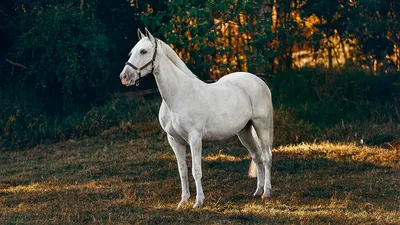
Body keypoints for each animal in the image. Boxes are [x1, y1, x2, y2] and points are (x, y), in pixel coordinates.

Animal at [120, 29, 274, 208]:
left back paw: (266, 193)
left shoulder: (194, 138)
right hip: (244, 132)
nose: (124, 77)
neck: (178, 96)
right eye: (132, 52)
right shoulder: (174, 140)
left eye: (143, 51)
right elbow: (182, 171)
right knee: (257, 156)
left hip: (261, 126)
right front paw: (183, 201)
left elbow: (196, 170)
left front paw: (198, 202)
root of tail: (260, 81)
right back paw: (257, 191)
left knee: (266, 157)